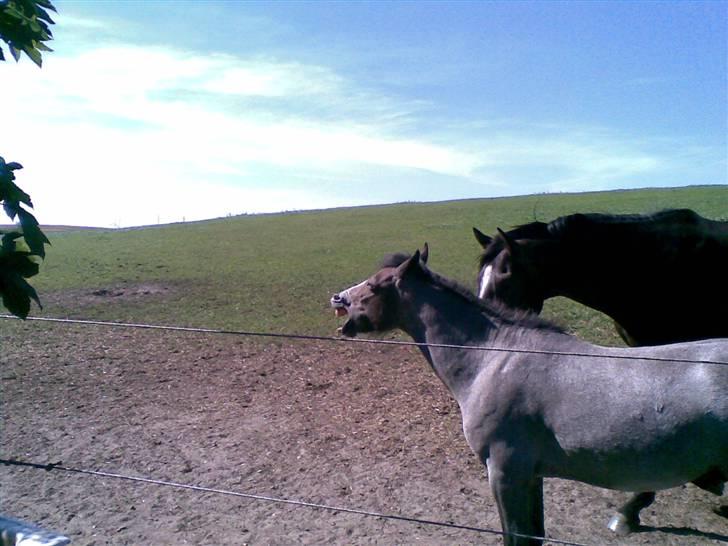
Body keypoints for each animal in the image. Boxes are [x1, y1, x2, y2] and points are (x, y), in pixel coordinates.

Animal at [332, 248, 728, 544]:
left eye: (375, 286)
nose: (338, 298)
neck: (495, 356)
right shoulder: (531, 476)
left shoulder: (505, 473)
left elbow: (518, 537)